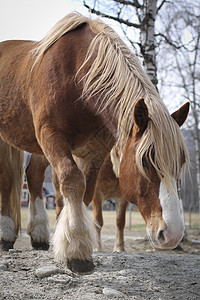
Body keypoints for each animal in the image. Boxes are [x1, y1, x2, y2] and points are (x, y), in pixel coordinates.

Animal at [0, 12, 189, 274]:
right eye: (145, 162)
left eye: (180, 163)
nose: (172, 234)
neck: (78, 77)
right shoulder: (52, 136)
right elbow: (72, 181)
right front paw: (77, 251)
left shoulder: (95, 151)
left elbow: (85, 193)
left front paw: (71, 242)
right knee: (7, 180)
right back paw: (6, 233)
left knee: (34, 176)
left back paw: (39, 235)